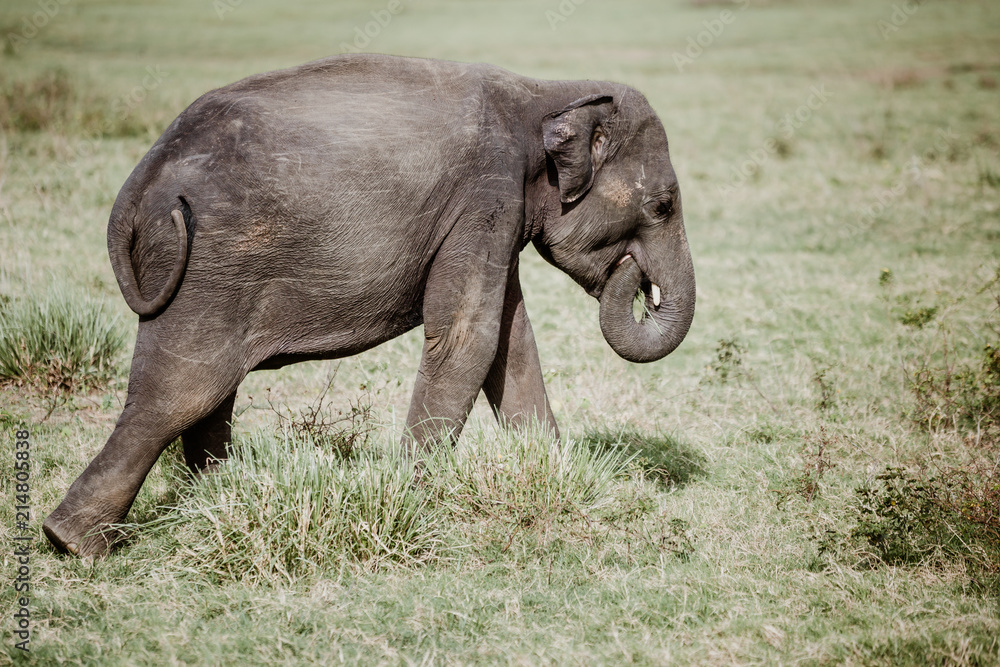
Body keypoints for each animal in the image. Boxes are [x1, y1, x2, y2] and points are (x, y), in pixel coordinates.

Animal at [43, 54, 695, 557]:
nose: (637, 279)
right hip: (205, 267)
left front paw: (551, 471)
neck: (547, 92)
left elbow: (510, 342)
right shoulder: (486, 195)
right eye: (663, 205)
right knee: (183, 390)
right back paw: (74, 544)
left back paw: (212, 497)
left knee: (208, 392)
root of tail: (142, 179)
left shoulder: (497, 213)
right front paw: (411, 497)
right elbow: (468, 336)